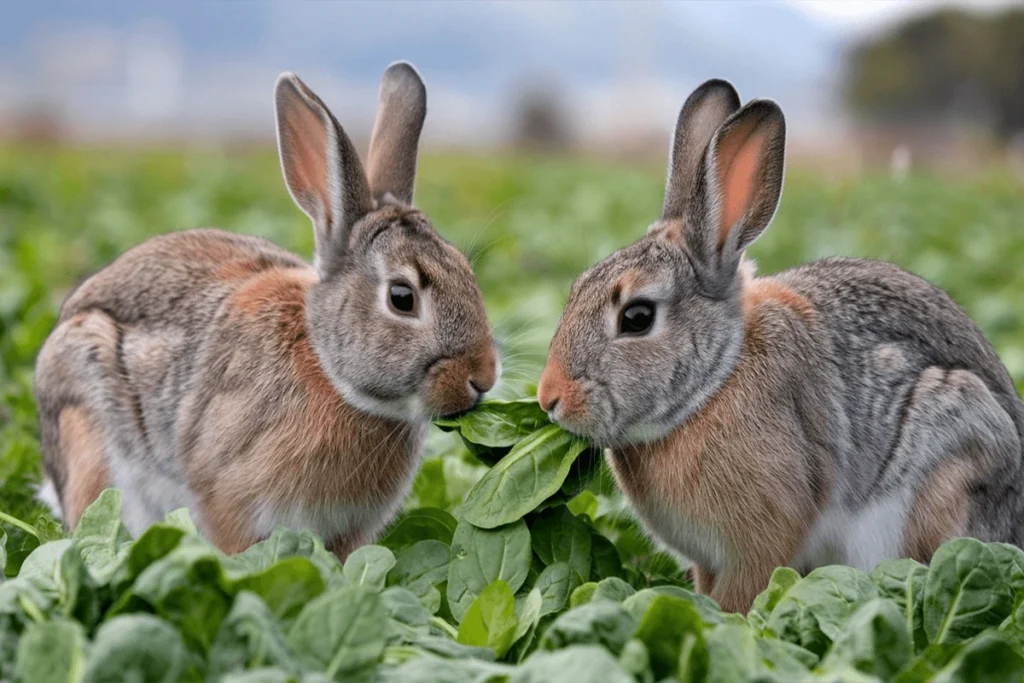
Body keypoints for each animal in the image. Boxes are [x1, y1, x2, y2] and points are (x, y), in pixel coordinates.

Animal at [536, 80, 1024, 614]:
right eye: (577, 287)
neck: (716, 380)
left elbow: (741, 594)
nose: (549, 398)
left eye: (637, 318)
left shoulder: (761, 539)